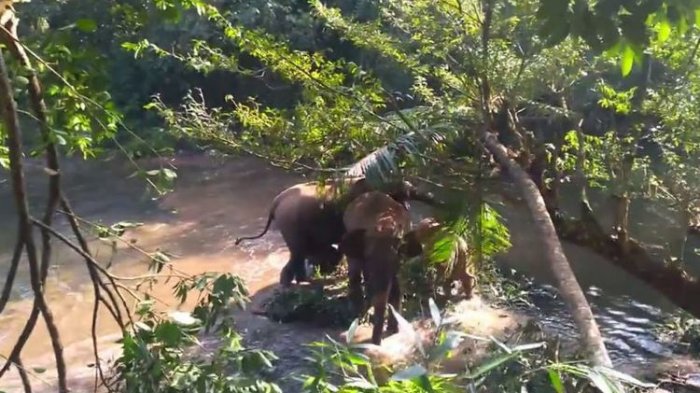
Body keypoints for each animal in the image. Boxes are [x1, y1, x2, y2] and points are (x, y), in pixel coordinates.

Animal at [235, 176, 432, 286]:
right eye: (403, 193)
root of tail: (275, 202)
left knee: (303, 252)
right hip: (291, 223)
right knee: (298, 252)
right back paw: (296, 283)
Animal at [340, 191, 422, 344]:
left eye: (398, 259)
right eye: (369, 258)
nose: (376, 343)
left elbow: (396, 287)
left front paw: (393, 330)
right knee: (355, 272)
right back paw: (357, 313)